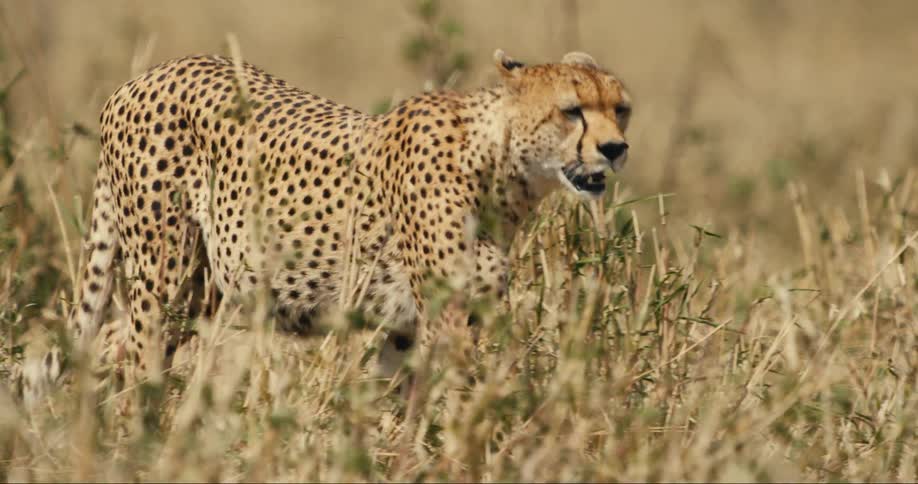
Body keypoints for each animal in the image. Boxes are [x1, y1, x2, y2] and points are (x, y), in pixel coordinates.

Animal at [21, 49, 631, 407]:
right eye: (572, 111)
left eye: (620, 108)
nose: (615, 148)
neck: (502, 163)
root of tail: (141, 78)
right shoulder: (445, 318)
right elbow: (456, 399)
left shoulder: (409, 325)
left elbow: (398, 404)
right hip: (165, 272)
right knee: (136, 353)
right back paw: (139, 438)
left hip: (203, 285)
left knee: (112, 341)